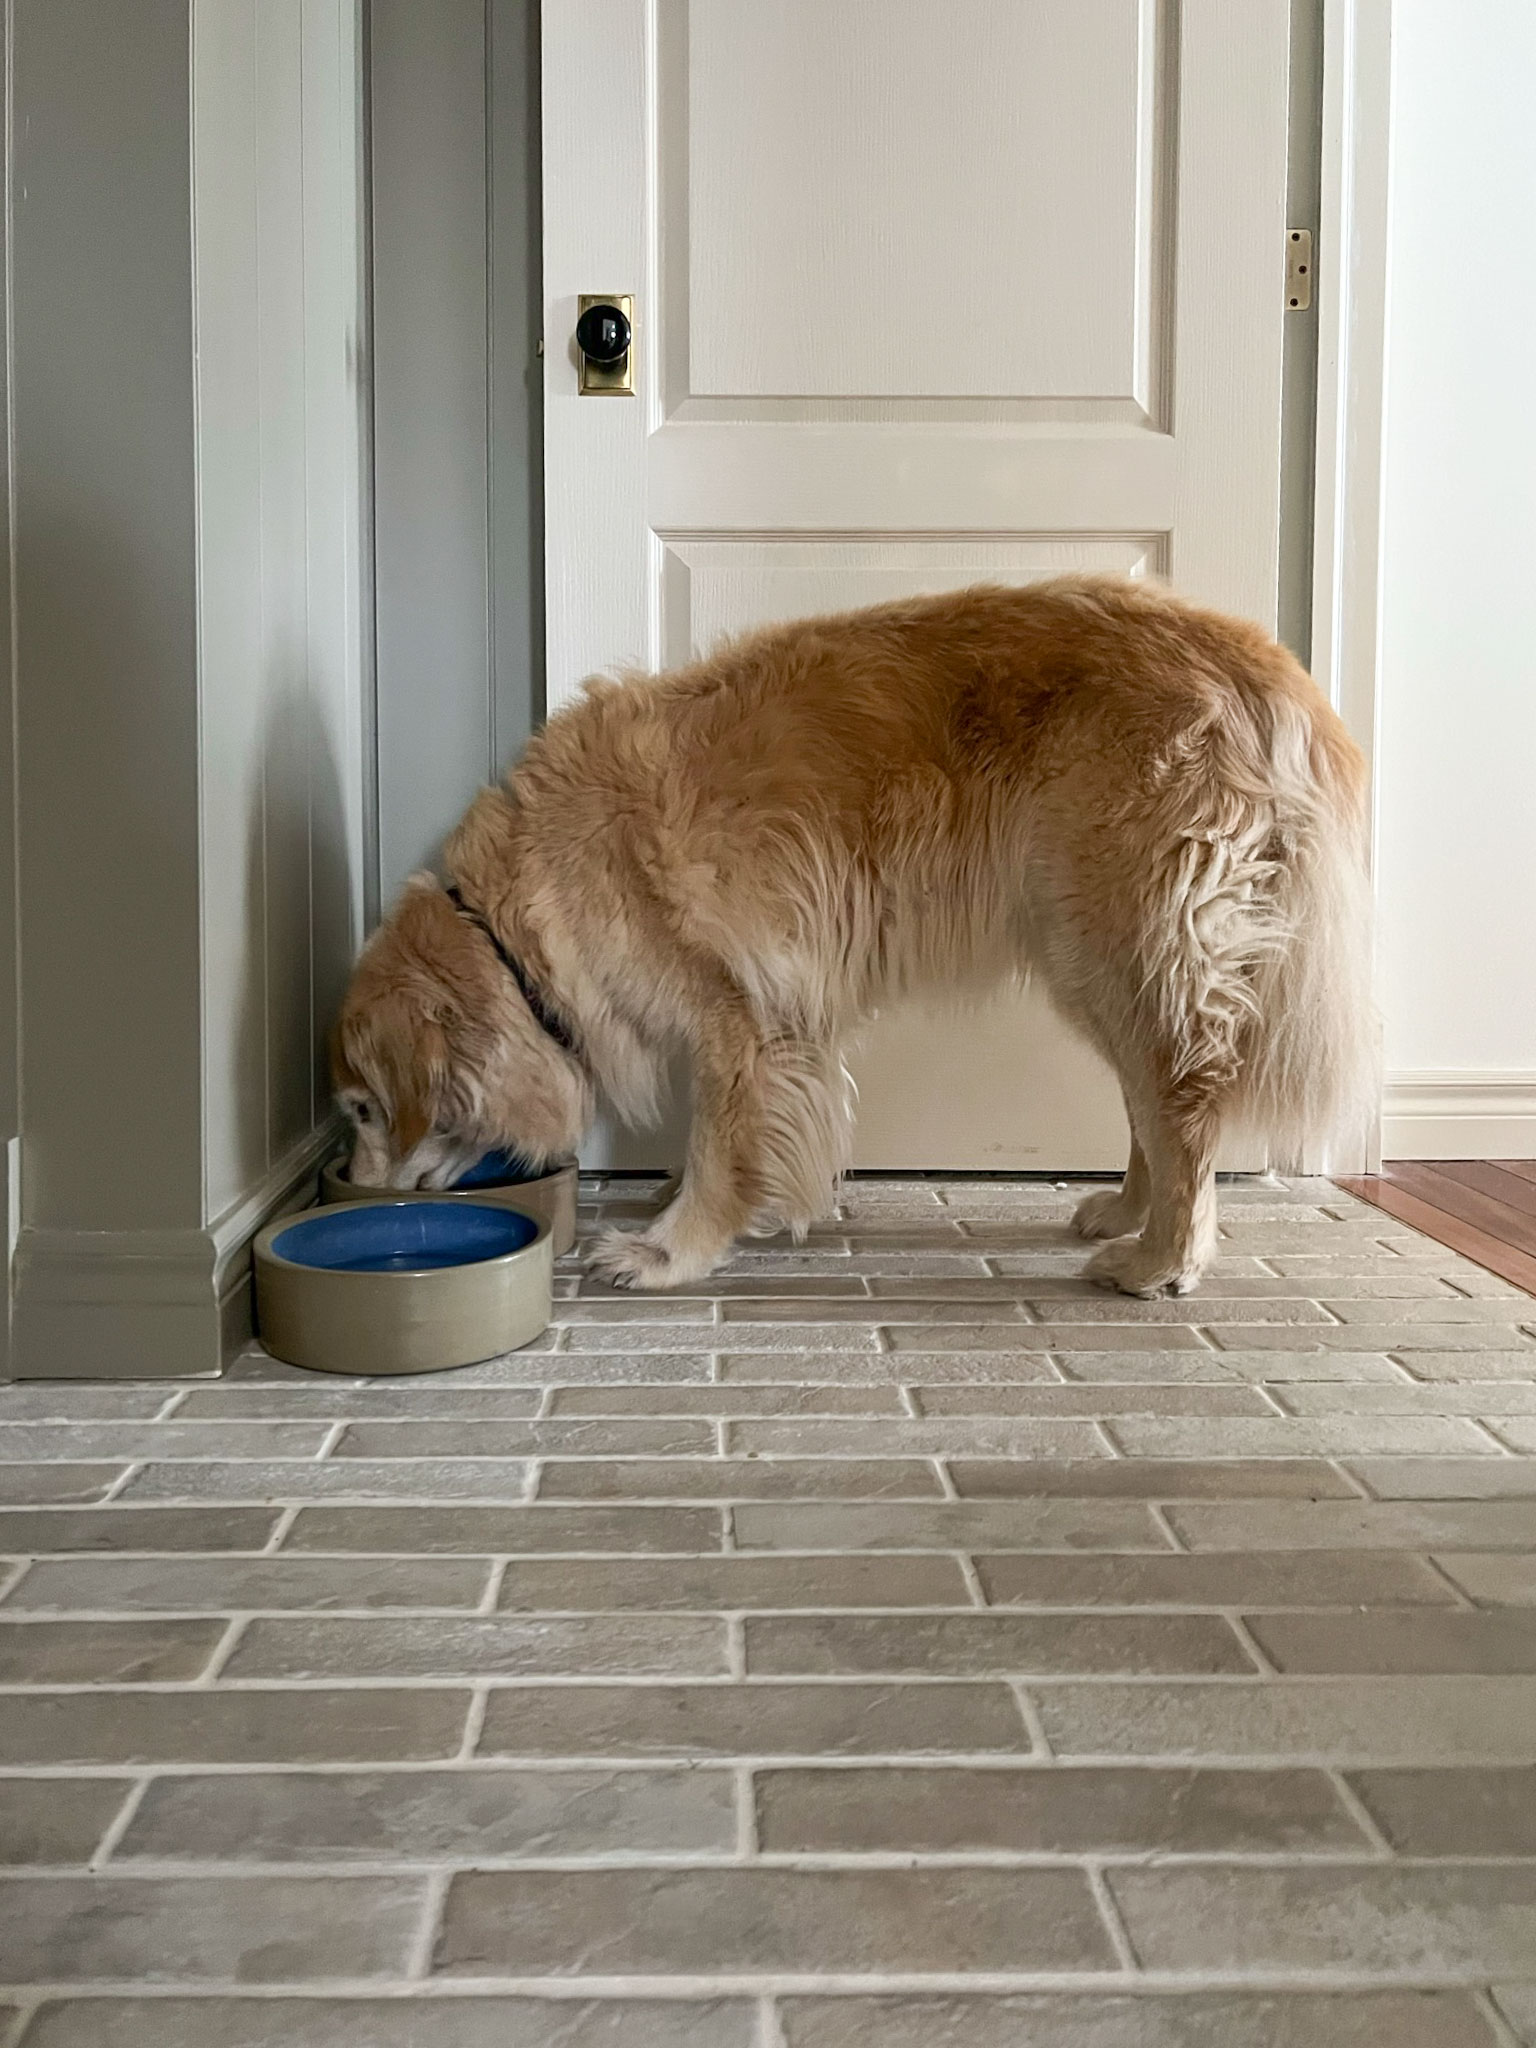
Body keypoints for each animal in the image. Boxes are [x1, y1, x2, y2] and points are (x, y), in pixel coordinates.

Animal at [333, 577, 1368, 1294]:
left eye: (361, 1110)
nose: (353, 1192)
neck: (511, 921)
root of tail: (1259, 660)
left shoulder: (739, 1015)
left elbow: (720, 1146)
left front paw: (670, 1250)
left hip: (1132, 940)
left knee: (1183, 1107)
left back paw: (1162, 1259)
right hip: (1096, 953)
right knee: (1149, 1103)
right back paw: (1127, 1214)